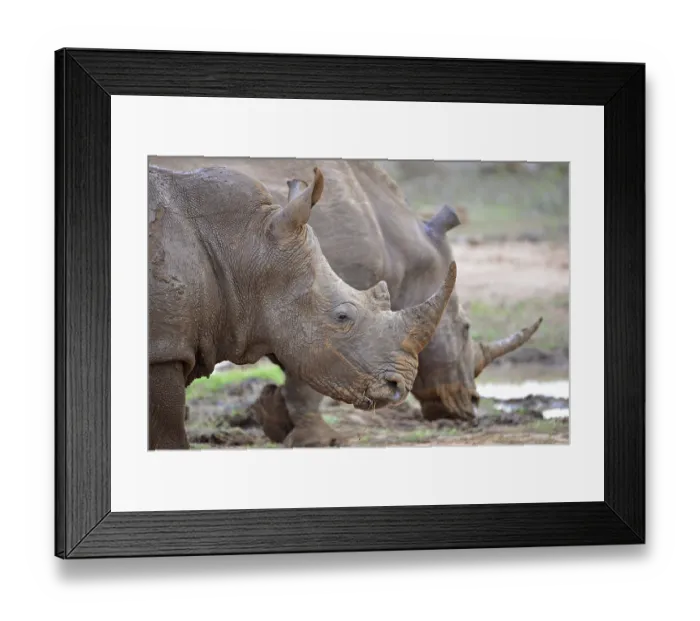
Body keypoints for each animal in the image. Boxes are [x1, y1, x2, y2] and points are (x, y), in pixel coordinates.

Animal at [222, 159, 542, 447]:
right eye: (465, 328)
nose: (472, 405)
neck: (405, 252)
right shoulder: (325, 309)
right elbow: (307, 378)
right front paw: (321, 440)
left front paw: (275, 419)